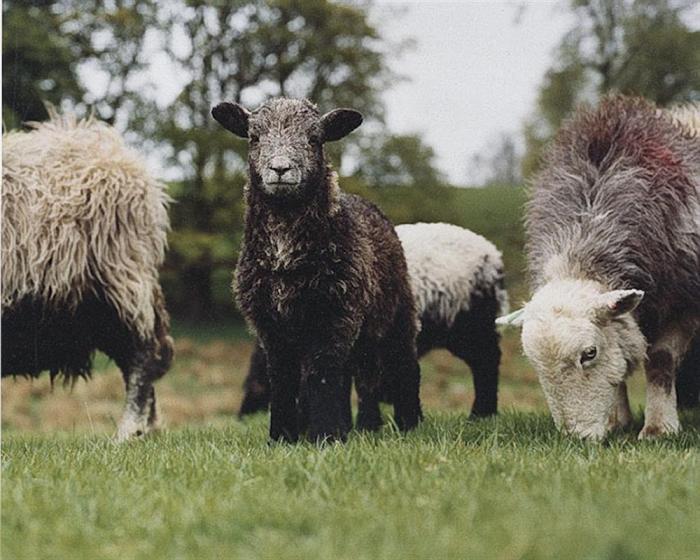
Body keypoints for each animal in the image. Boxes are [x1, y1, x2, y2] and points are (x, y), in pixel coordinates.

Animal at [212, 98, 422, 444]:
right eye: (254, 138)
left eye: (314, 139)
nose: (280, 169)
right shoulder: (270, 325)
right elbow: (283, 379)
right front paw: (282, 437)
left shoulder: (335, 313)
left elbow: (322, 374)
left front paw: (326, 437)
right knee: (358, 374)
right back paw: (362, 426)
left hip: (396, 311)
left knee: (402, 364)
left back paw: (409, 423)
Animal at [498, 94, 700, 440]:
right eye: (535, 364)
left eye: (589, 354)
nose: (576, 438)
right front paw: (616, 422)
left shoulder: (684, 303)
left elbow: (660, 360)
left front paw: (659, 428)